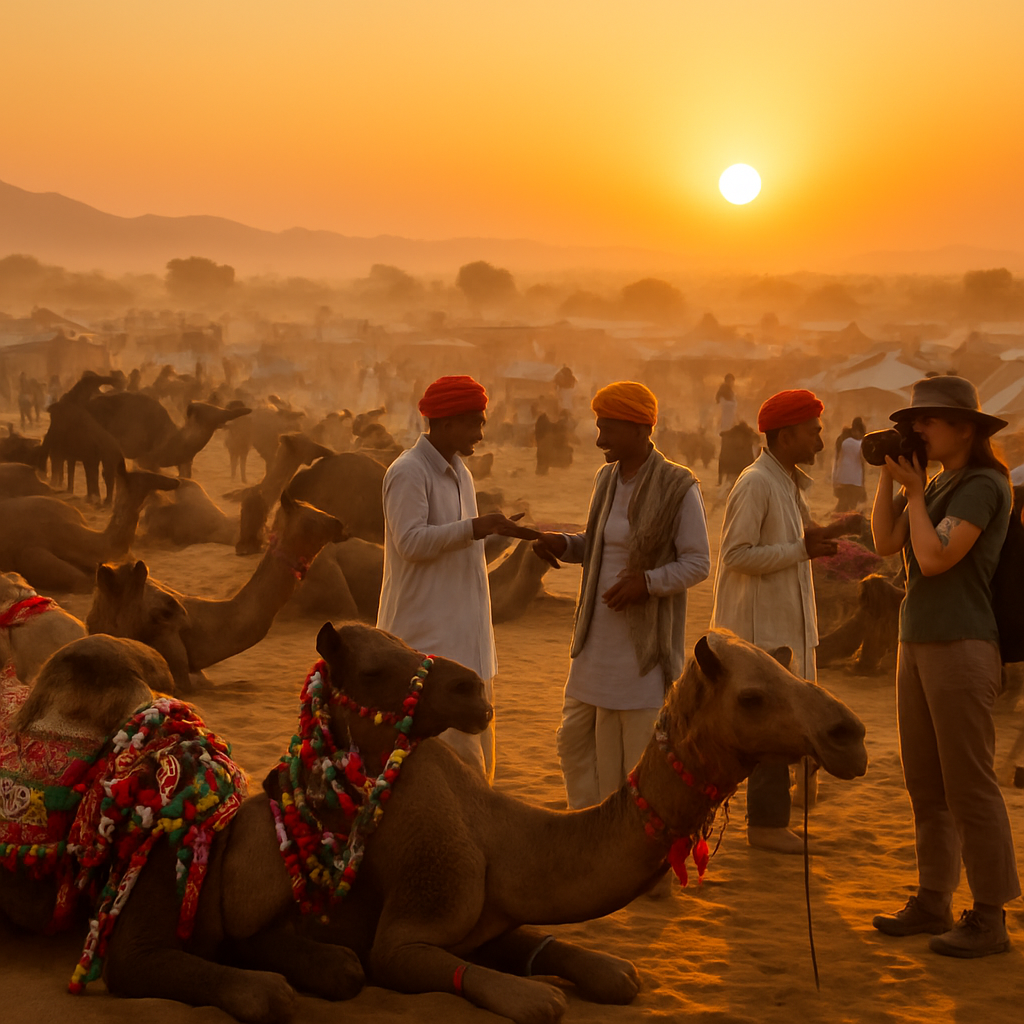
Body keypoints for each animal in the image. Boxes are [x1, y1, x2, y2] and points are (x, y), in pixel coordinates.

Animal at [0, 626, 867, 1023]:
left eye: (785, 672)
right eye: (753, 696)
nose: (849, 732)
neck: (501, 835)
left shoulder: (496, 914)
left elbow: (594, 967)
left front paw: (597, 971)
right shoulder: (417, 919)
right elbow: (512, 994)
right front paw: (533, 995)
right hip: (153, 882)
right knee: (166, 967)